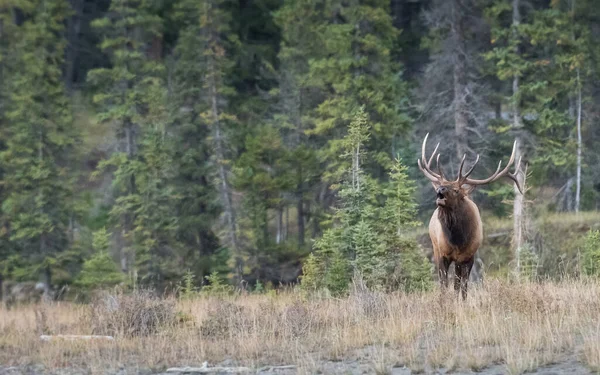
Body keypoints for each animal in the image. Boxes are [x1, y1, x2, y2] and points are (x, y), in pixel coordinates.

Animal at [414, 135, 524, 300]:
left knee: (457, 282)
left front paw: (461, 302)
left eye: (456, 190)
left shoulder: (468, 256)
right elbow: (444, 283)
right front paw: (444, 301)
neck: (457, 240)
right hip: (435, 247)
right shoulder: (443, 253)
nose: (440, 189)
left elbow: (463, 286)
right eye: (442, 184)